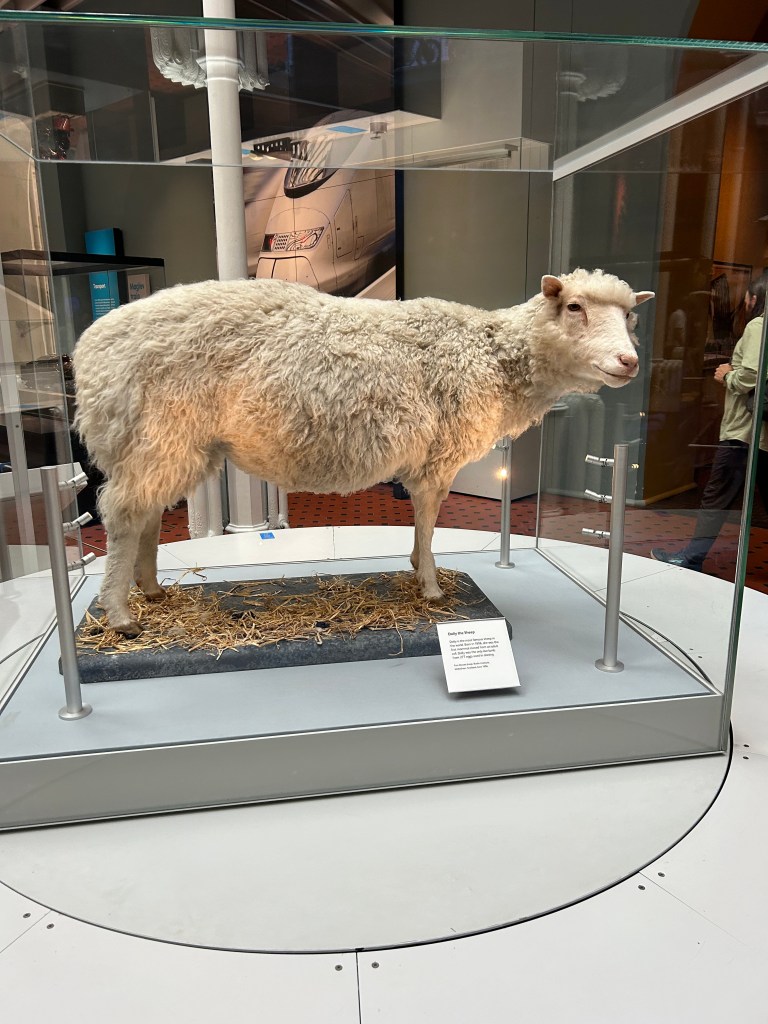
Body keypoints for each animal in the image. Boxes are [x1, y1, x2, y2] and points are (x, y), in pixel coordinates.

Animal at [73, 268, 653, 637]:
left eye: (631, 317)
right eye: (574, 308)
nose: (629, 362)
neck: (490, 355)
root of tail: (88, 349)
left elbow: (424, 521)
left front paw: (419, 569)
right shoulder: (438, 456)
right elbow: (427, 516)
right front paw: (430, 585)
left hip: (161, 445)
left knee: (147, 515)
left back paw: (151, 591)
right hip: (157, 433)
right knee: (123, 517)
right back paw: (120, 615)